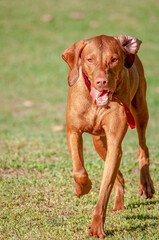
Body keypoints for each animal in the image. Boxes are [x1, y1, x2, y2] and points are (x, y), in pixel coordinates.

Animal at [61, 34, 155, 239]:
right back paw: (118, 203)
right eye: (90, 59)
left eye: (114, 60)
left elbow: (104, 190)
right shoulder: (73, 132)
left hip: (140, 111)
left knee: (143, 148)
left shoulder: (114, 142)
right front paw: (82, 188)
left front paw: (97, 226)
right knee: (118, 176)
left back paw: (145, 184)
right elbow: (79, 171)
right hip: (99, 142)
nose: (102, 82)